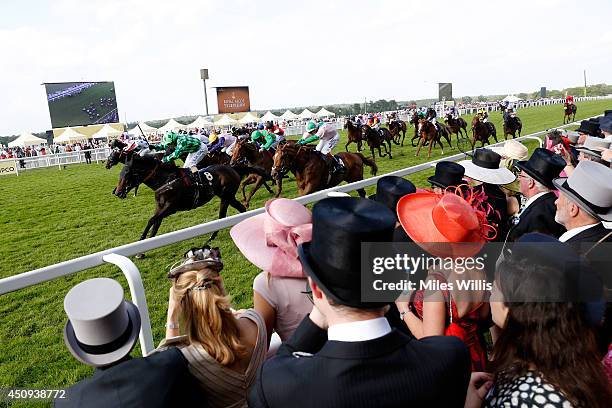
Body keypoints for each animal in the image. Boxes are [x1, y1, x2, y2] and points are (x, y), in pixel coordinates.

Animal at [113, 155, 245, 253]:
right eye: (120, 173)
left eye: (127, 174)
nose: (118, 192)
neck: (166, 181)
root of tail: (232, 168)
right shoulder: (160, 207)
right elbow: (155, 225)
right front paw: (143, 250)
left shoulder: (171, 208)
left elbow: (151, 220)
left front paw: (141, 244)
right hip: (228, 197)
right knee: (242, 208)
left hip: (226, 197)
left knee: (222, 216)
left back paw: (212, 237)